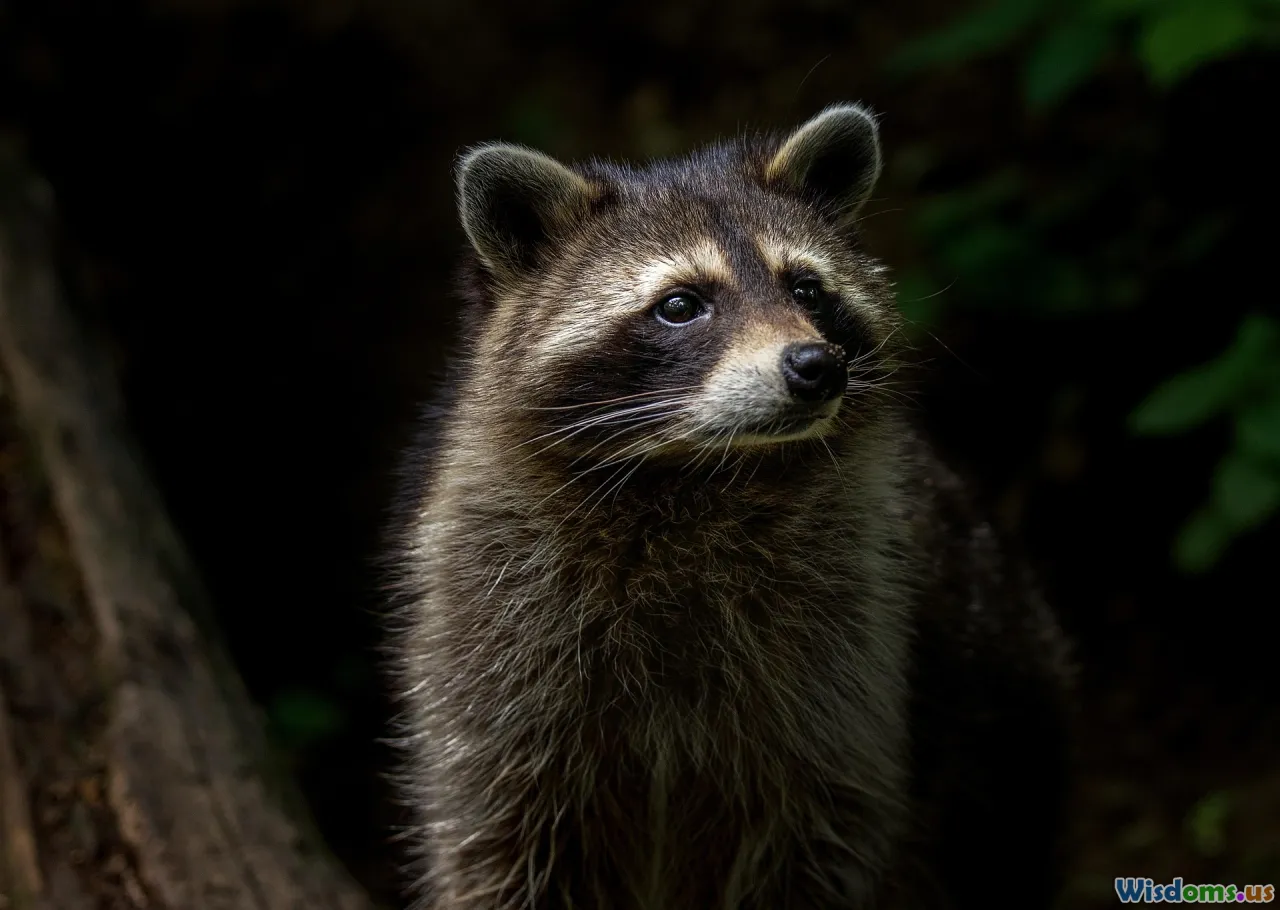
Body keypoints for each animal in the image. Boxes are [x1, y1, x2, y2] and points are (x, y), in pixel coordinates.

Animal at [386, 104, 1074, 910]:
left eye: (806, 289)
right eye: (681, 305)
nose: (816, 367)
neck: (699, 475)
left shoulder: (849, 653)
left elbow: (820, 836)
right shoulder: (489, 642)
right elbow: (501, 842)